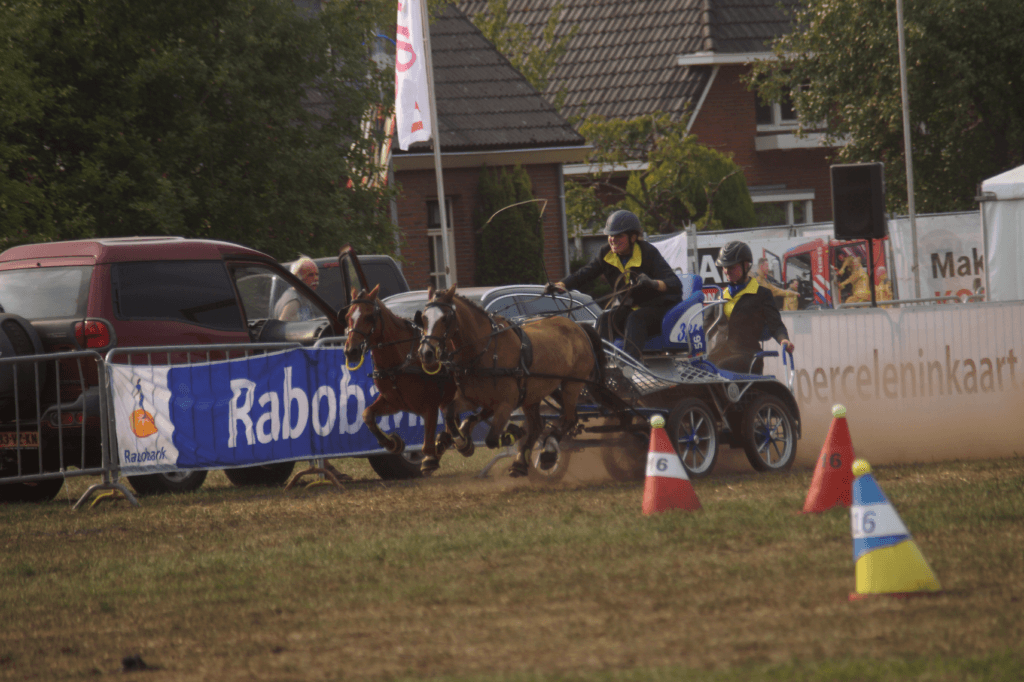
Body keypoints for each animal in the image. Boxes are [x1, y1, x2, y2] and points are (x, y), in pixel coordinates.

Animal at [417, 284, 606, 475]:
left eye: (445, 318)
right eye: (424, 318)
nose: (426, 353)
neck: (484, 352)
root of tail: (578, 327)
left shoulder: (506, 403)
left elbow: (492, 439)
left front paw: (512, 433)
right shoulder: (470, 399)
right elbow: (450, 413)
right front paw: (462, 442)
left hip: (571, 384)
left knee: (568, 419)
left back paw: (548, 451)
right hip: (537, 392)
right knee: (540, 424)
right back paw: (521, 462)